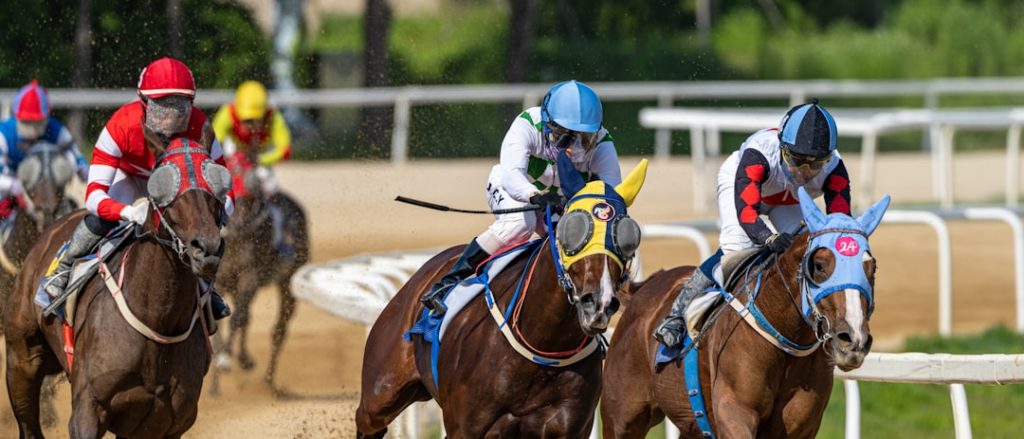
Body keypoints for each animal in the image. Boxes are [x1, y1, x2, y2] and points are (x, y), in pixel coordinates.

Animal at [4, 137, 232, 438]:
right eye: (163, 189)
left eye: (219, 188)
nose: (207, 248)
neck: (157, 319)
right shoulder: (87, 411)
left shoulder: (166, 422)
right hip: (21, 360)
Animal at [212, 154, 310, 395]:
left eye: (250, 198)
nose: (234, 225)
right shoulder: (219, 280)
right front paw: (216, 379)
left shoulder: (251, 275)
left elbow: (238, 317)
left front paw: (225, 358)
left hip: (288, 280)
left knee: (278, 330)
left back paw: (268, 381)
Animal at [356, 154, 648, 438]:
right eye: (572, 229)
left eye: (628, 238)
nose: (599, 304)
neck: (543, 345)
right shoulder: (467, 428)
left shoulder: (568, 427)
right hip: (380, 393)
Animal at [600, 188, 890, 438]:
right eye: (819, 265)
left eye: (872, 267)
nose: (854, 340)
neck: (782, 339)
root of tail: (641, 289)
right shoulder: (734, 411)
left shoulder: (800, 425)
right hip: (622, 415)